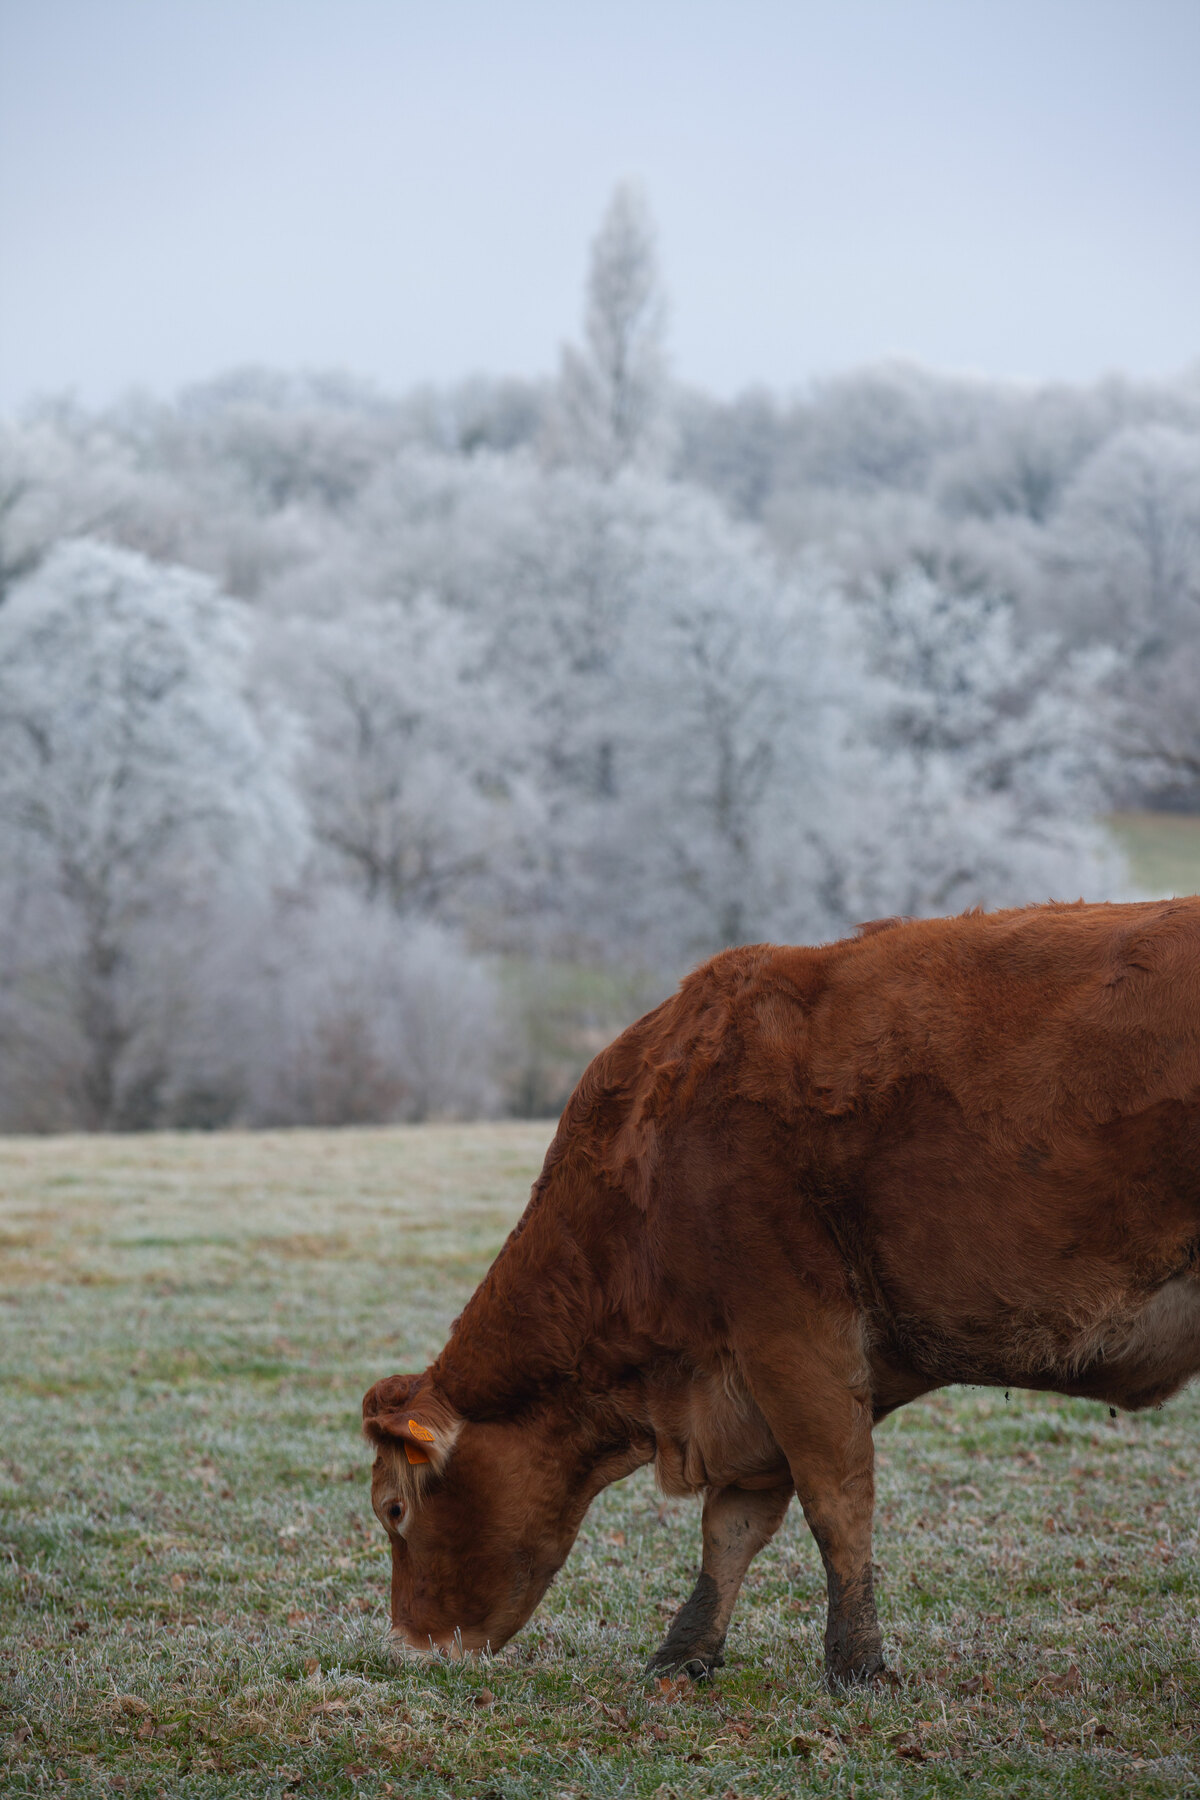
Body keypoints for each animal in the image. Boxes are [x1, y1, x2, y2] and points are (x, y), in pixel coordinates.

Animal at [362, 898, 1200, 1686]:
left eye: (395, 1508)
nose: (406, 1646)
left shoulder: (792, 1340)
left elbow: (835, 1503)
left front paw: (857, 1664)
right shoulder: (746, 1383)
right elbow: (732, 1525)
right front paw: (685, 1653)